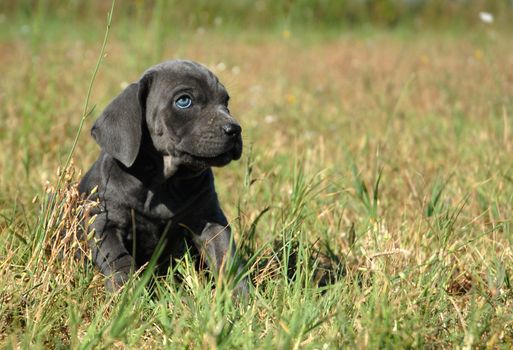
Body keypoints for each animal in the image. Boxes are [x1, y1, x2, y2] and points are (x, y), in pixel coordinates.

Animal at [78, 58, 248, 294]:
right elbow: (118, 260)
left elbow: (226, 257)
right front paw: (127, 292)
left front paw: (239, 296)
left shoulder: (210, 220)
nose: (235, 129)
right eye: (184, 101)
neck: (163, 182)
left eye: (225, 101)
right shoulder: (103, 220)